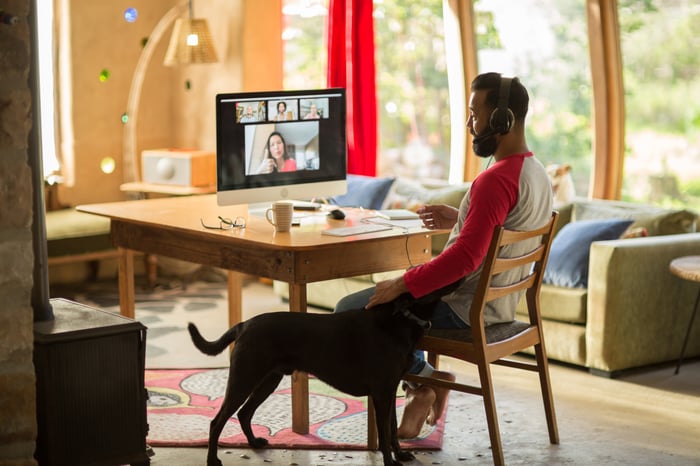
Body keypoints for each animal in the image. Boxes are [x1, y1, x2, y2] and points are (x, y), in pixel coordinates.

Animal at [187, 280, 460, 466]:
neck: (400, 318)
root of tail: (244, 325)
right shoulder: (382, 392)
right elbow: (384, 433)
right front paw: (390, 462)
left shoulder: (390, 390)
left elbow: (392, 429)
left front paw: (400, 454)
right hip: (244, 379)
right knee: (218, 421)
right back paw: (212, 460)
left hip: (268, 380)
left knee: (244, 413)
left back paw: (254, 443)